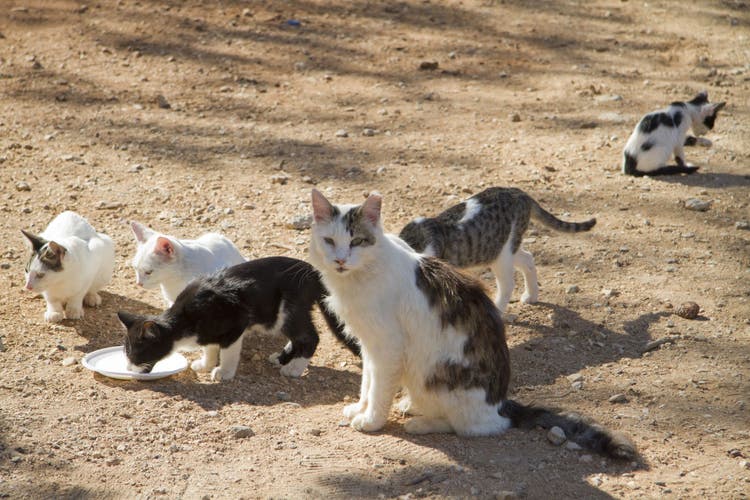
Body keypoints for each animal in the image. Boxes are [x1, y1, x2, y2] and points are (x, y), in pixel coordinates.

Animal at [118, 256, 362, 380]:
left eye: (135, 353)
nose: (128, 368)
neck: (185, 319)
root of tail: (314, 273)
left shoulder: (236, 323)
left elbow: (227, 352)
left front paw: (223, 372)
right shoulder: (207, 331)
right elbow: (209, 347)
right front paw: (206, 364)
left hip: (288, 310)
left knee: (310, 337)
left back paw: (294, 368)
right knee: (299, 336)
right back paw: (281, 358)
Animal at [400, 188, 600, 312]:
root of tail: (520, 193)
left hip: (501, 255)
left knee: (508, 284)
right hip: (503, 248)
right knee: (528, 259)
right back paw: (531, 295)